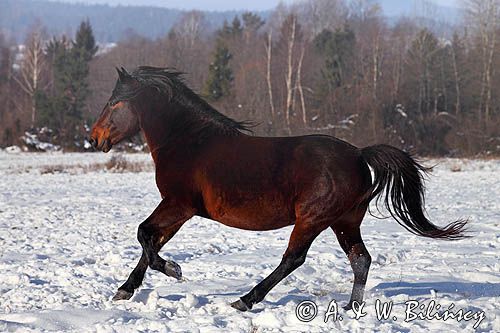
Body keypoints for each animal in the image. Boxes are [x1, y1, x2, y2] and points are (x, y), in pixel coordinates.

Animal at [90, 66, 468, 310]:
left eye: (114, 103)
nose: (94, 139)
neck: (189, 142)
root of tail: (360, 155)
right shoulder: (179, 209)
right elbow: (150, 241)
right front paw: (124, 291)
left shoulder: (179, 204)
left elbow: (144, 235)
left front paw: (174, 270)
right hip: (344, 221)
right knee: (360, 259)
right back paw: (350, 308)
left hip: (313, 218)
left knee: (294, 258)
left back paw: (245, 300)